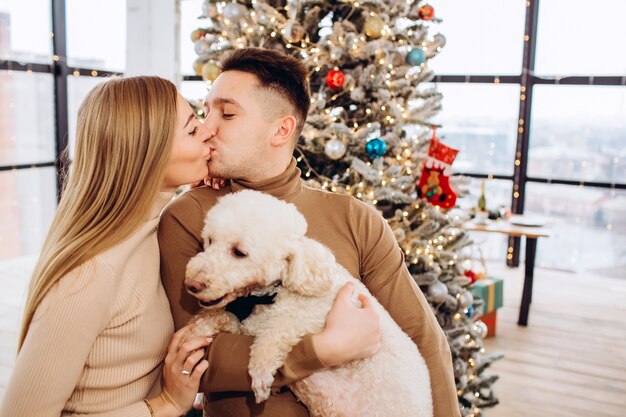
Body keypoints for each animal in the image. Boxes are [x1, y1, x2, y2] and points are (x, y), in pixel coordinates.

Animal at [183, 189, 432, 416]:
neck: (273, 291)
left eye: (239, 252)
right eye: (210, 241)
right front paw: (195, 330)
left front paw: (261, 373)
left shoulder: (310, 316)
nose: (191, 284)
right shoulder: (248, 324)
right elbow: (221, 317)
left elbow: (274, 335)